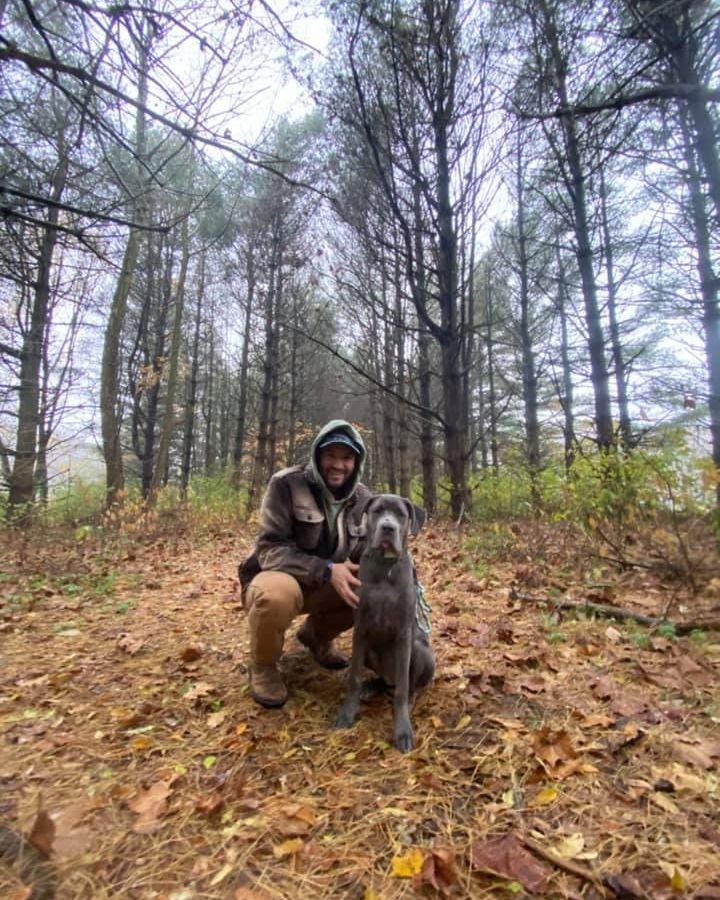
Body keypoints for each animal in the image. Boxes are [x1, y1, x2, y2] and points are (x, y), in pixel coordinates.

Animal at [336, 496, 436, 748]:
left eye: (401, 514)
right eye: (377, 511)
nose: (388, 528)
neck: (385, 567)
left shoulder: (403, 634)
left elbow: (402, 687)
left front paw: (402, 730)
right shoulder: (360, 630)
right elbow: (354, 677)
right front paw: (347, 713)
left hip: (421, 651)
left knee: (408, 685)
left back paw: (409, 698)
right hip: (370, 653)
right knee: (383, 681)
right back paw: (371, 687)